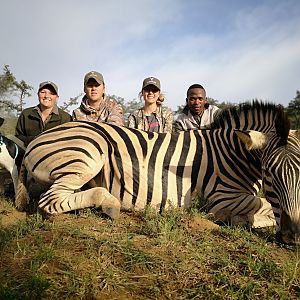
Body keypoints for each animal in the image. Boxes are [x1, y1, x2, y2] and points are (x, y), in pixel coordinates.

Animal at [15, 101, 300, 244]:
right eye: (269, 173)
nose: (292, 235)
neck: (231, 152)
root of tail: (36, 140)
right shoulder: (223, 196)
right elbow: (263, 206)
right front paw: (233, 219)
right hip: (88, 153)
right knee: (50, 201)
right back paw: (109, 203)